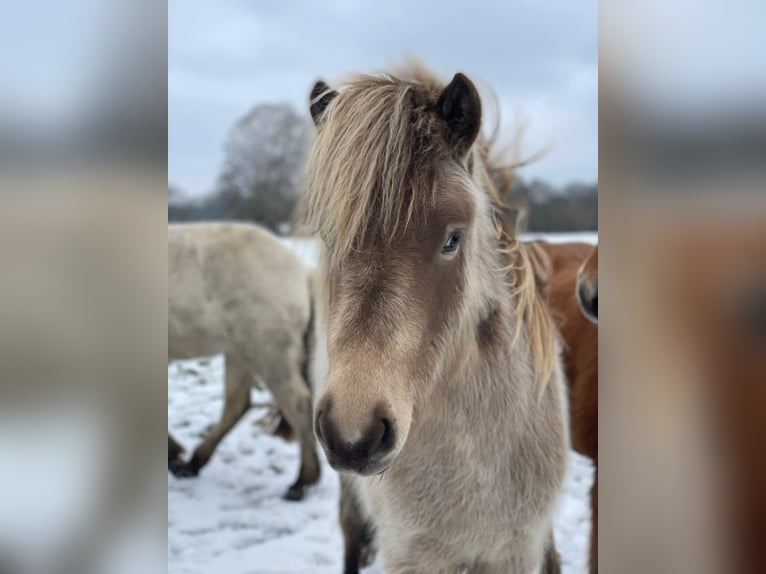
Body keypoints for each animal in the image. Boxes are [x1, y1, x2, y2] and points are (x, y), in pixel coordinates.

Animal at [167, 222, 320, 501]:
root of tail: (302, 272)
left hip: (267, 354)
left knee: (298, 403)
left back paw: (302, 481)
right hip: (239, 353)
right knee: (236, 404)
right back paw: (193, 463)